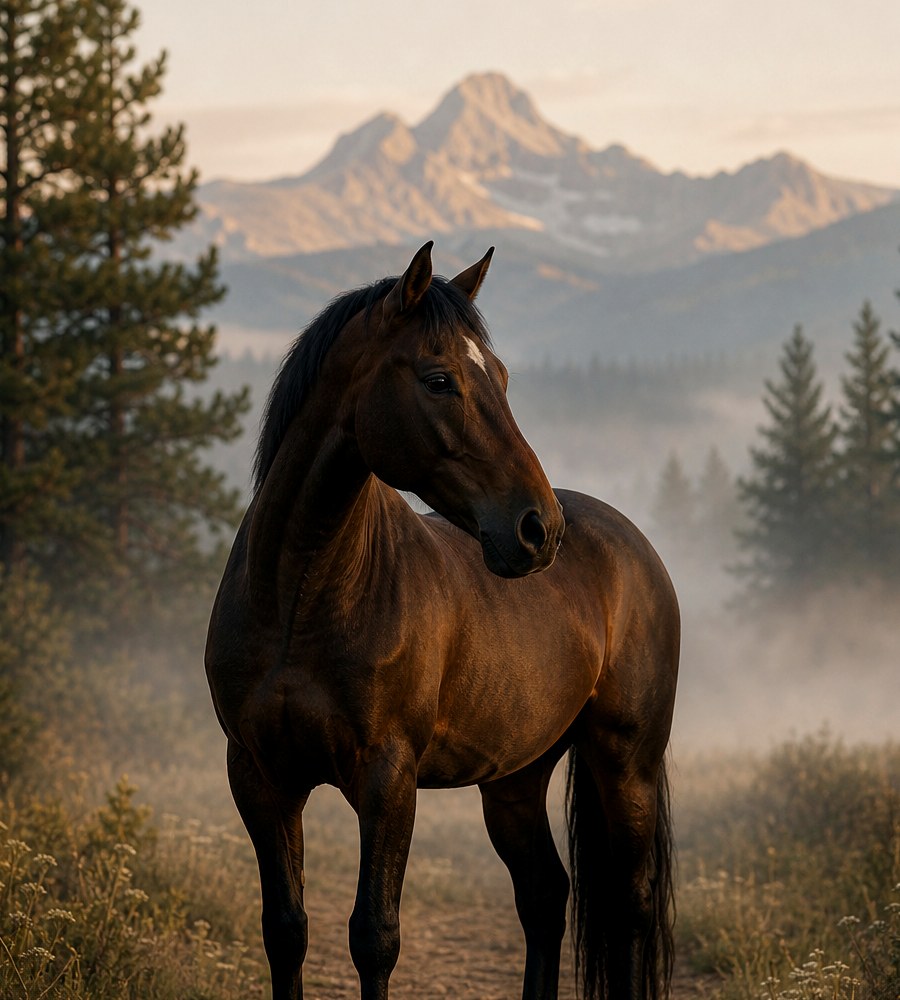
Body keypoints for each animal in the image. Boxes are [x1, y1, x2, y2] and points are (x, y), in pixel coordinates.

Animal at [205, 242, 679, 1000]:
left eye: (503, 378)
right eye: (438, 380)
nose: (538, 529)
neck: (300, 598)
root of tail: (632, 545)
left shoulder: (387, 780)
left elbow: (374, 937)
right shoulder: (259, 776)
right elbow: (285, 931)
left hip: (625, 761)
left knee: (629, 906)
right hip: (515, 779)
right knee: (545, 895)